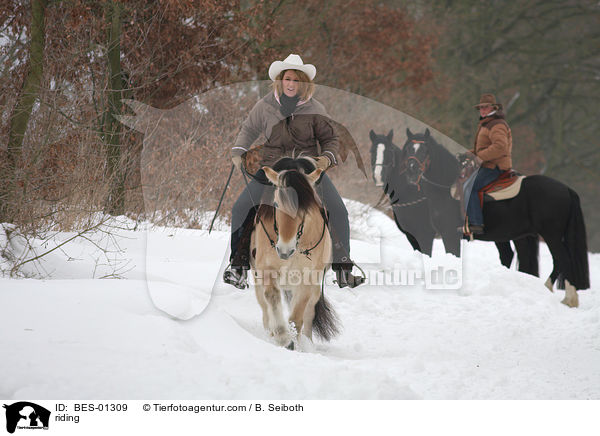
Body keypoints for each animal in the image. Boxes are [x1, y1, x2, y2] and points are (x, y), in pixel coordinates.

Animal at [370, 129, 540, 274]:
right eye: (372, 151)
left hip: (518, 236)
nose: (378, 176)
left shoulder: (430, 234)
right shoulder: (412, 237)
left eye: (389, 152)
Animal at [400, 129, 588, 306]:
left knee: (562, 260)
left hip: (551, 235)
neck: (447, 187)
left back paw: (567, 298)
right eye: (408, 148)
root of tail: (567, 189)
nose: (411, 170)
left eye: (425, 150)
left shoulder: (448, 234)